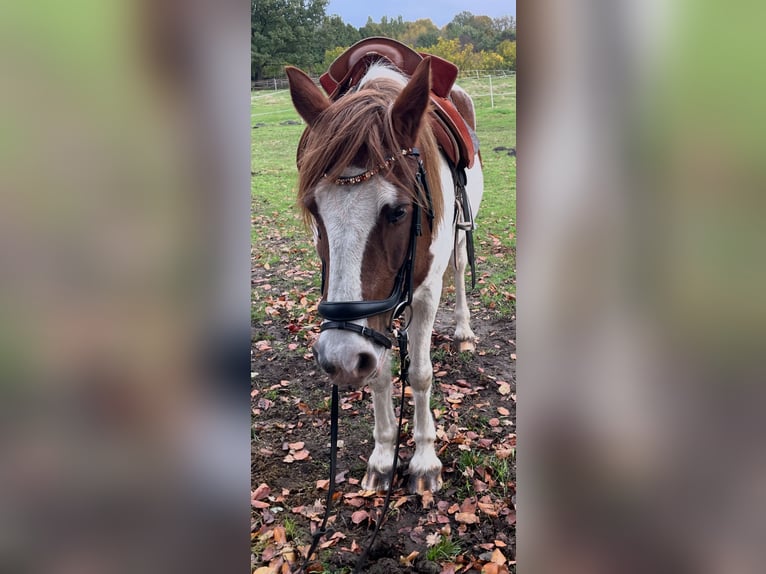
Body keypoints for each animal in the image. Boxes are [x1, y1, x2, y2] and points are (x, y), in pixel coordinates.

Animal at [285, 51, 483, 494]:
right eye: (314, 210)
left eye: (398, 211)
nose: (339, 359)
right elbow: (379, 374)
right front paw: (383, 456)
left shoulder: (424, 294)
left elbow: (421, 374)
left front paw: (425, 460)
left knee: (460, 269)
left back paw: (463, 330)